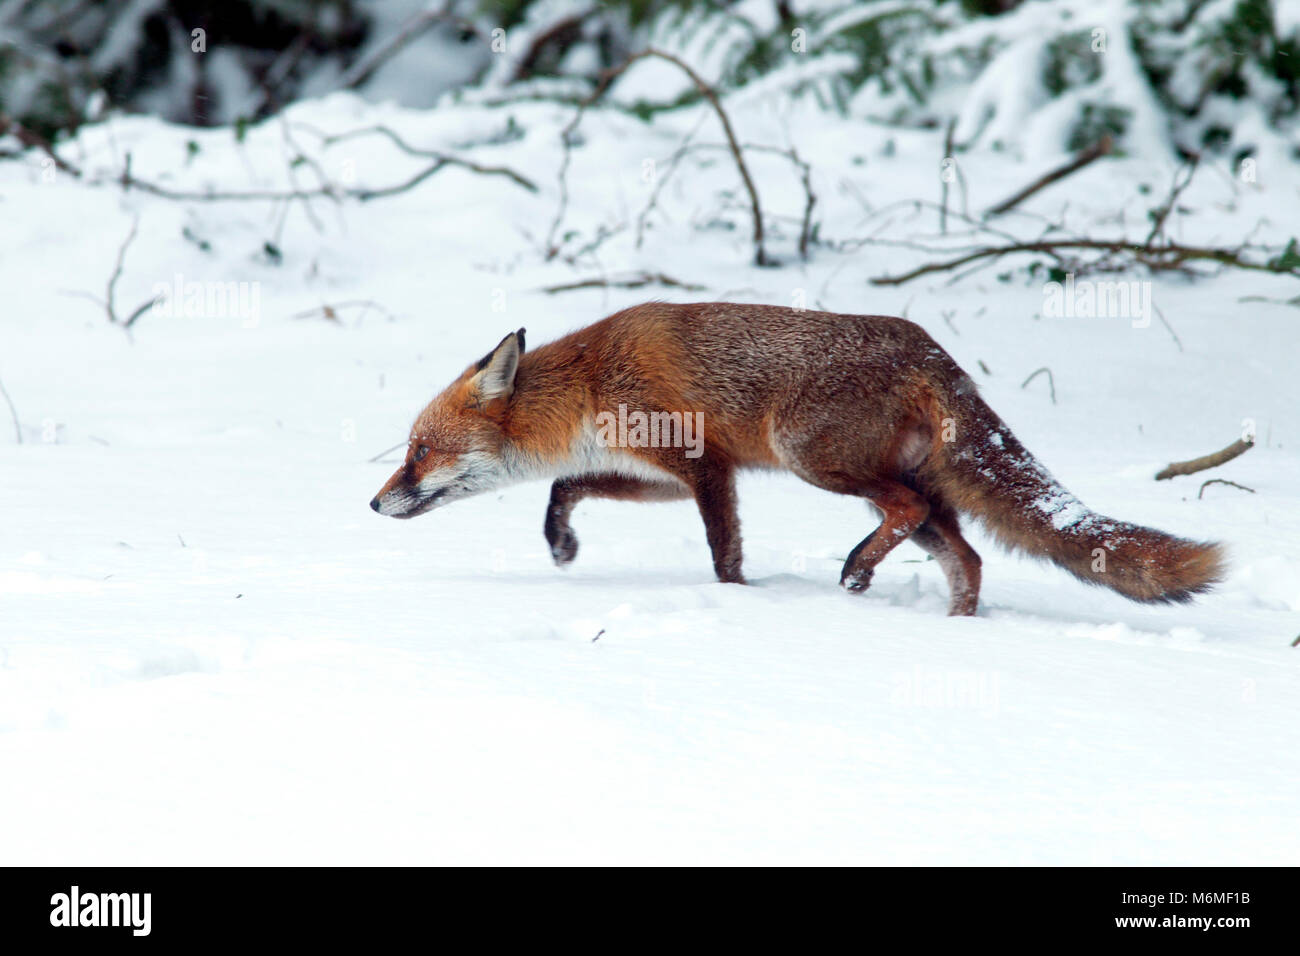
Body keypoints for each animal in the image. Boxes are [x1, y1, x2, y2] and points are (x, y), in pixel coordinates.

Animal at [371, 306, 1222, 621]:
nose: (374, 505)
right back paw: (953, 623)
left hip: (811, 457)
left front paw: (737, 604)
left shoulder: (703, 466)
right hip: (900, 482)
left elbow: (723, 554)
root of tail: (931, 348)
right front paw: (561, 542)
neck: (588, 386)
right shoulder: (664, 475)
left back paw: (856, 574)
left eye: (419, 452)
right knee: (969, 554)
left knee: (912, 514)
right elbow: (564, 485)